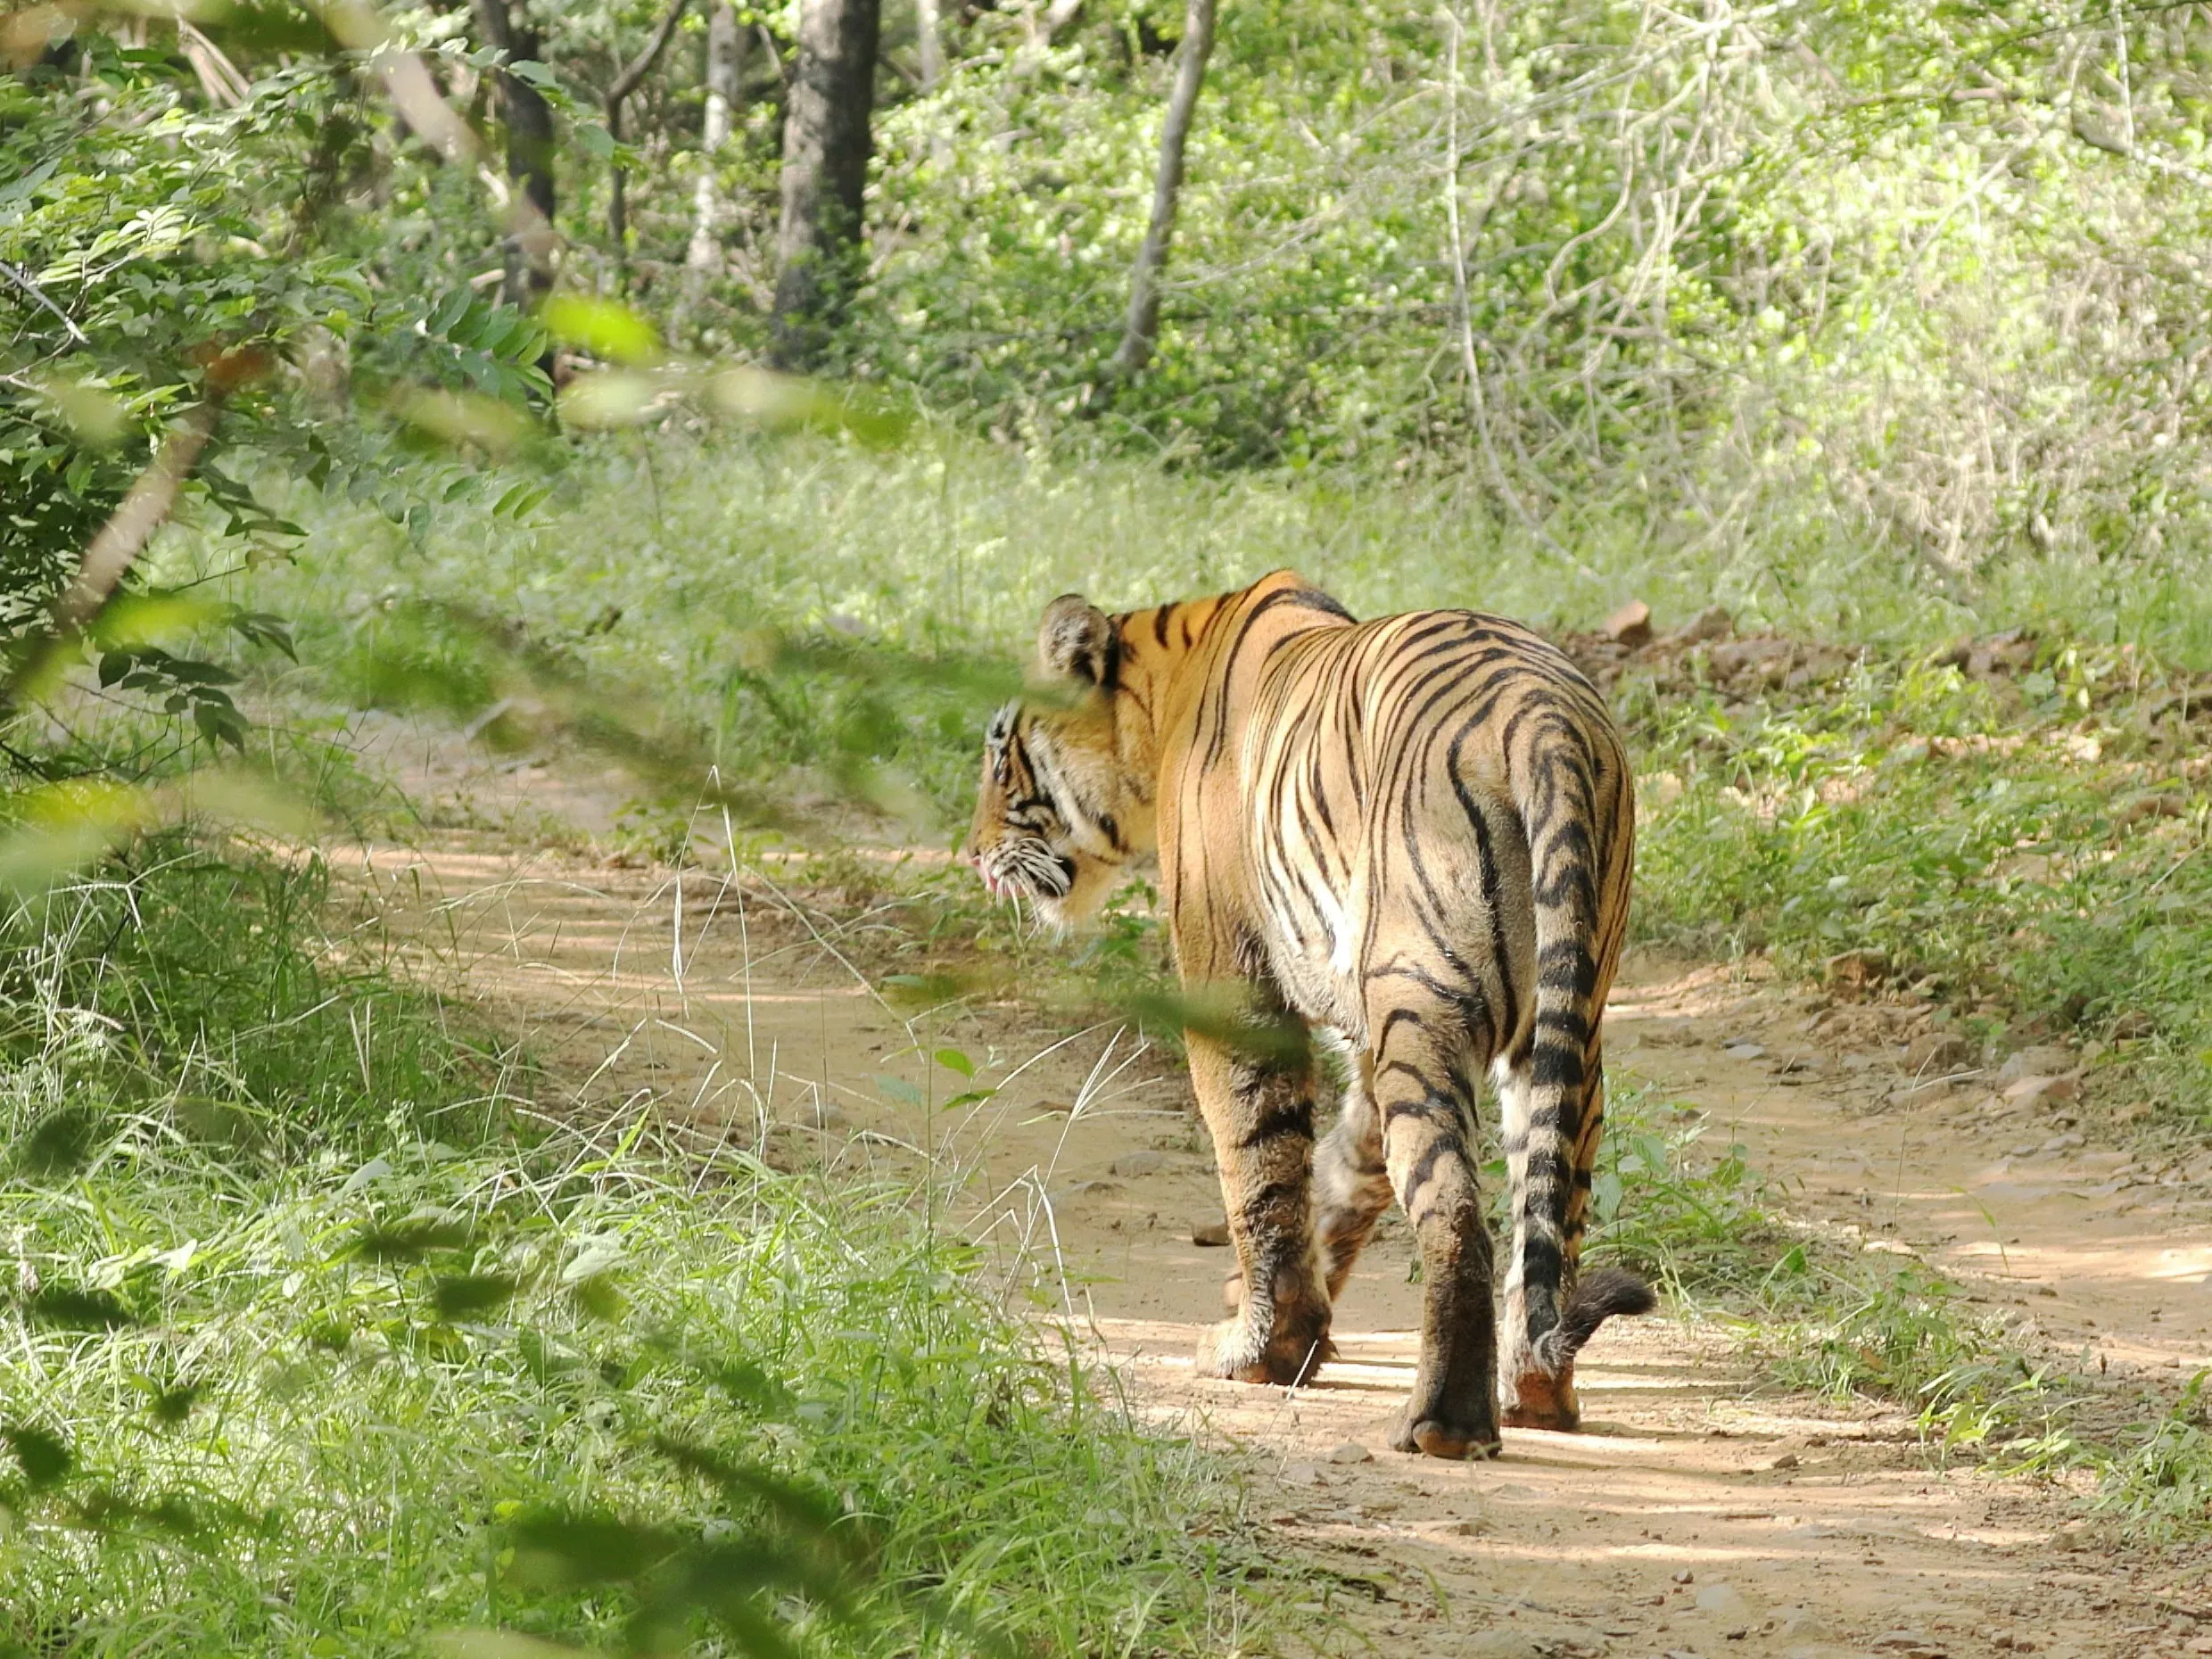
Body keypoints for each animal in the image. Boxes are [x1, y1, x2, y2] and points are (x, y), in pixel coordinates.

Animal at [966, 570, 1652, 1459]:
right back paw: (1537, 1394)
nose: (973, 851)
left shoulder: (1231, 974)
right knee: (1547, 1216)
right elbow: (1342, 1168)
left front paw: (1259, 1349)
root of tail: (1546, 720)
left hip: (1426, 1002)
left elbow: (1257, 1161)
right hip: (1562, 1028)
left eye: (999, 754)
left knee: (1455, 1216)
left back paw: (1444, 1423)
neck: (1166, 683)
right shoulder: (1363, 1027)